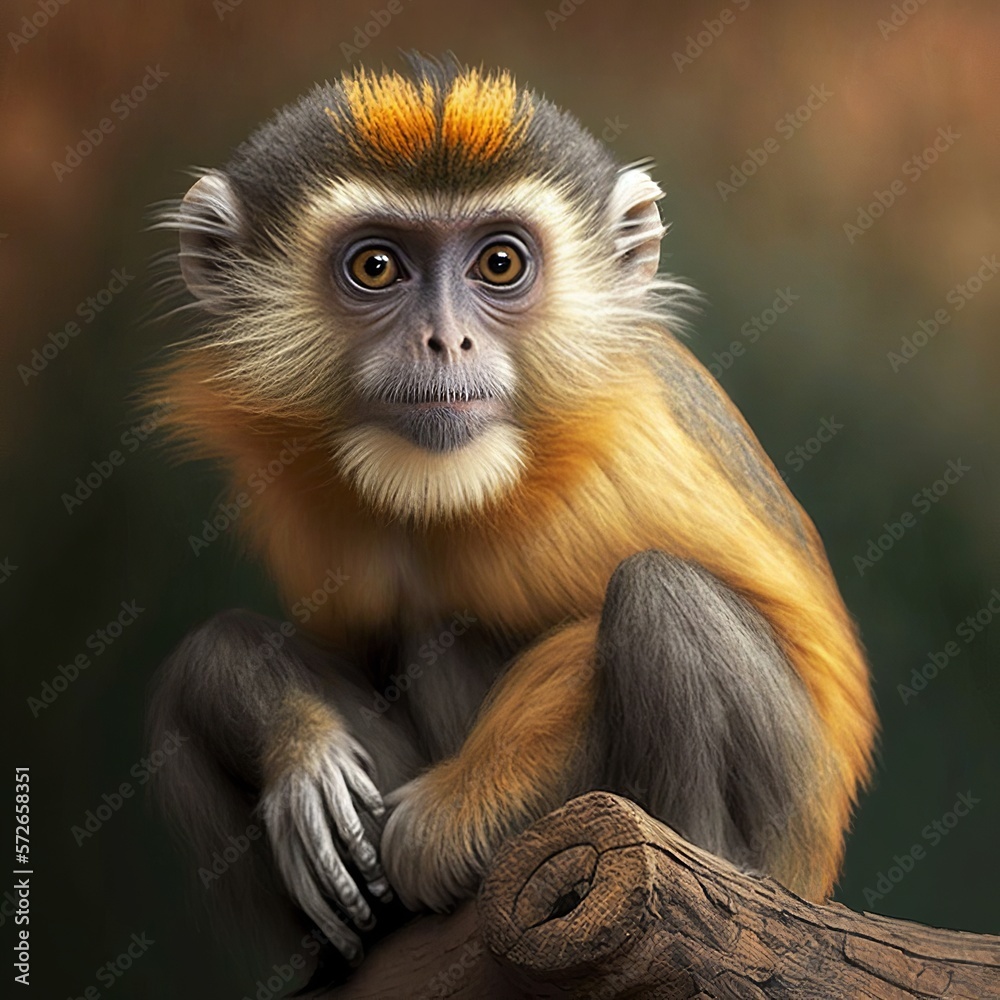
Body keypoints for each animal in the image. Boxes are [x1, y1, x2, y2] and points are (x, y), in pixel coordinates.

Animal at [148, 54, 876, 973]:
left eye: (499, 263)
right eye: (376, 268)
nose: (444, 341)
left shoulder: (607, 462)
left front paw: (442, 822)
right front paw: (299, 743)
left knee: (659, 596)